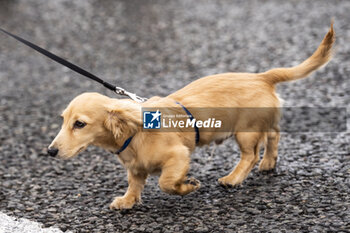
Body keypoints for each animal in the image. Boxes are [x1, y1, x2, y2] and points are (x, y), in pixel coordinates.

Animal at [47, 23, 334, 209]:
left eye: (80, 124)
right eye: (63, 120)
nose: (50, 151)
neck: (133, 134)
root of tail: (262, 77)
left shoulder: (178, 155)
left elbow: (165, 182)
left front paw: (188, 186)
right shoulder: (136, 168)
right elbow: (135, 183)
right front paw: (127, 201)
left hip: (246, 131)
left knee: (250, 155)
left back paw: (233, 178)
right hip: (262, 123)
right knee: (273, 136)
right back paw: (268, 163)